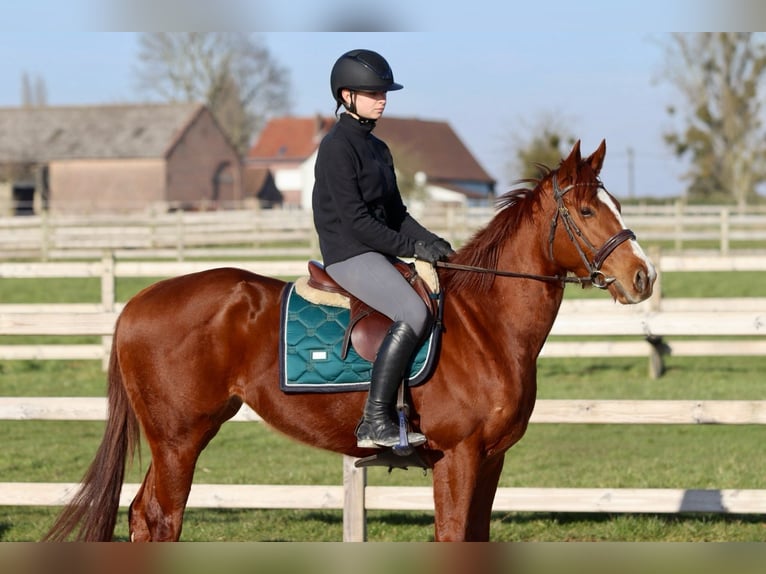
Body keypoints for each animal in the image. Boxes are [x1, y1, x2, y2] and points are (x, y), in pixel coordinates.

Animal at [45, 141, 660, 544]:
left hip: (181, 436)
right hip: (178, 439)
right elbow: (453, 537)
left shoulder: (490, 460)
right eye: (586, 210)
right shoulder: (457, 457)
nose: (643, 278)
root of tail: (138, 302)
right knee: (163, 519)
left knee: (142, 515)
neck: (486, 325)